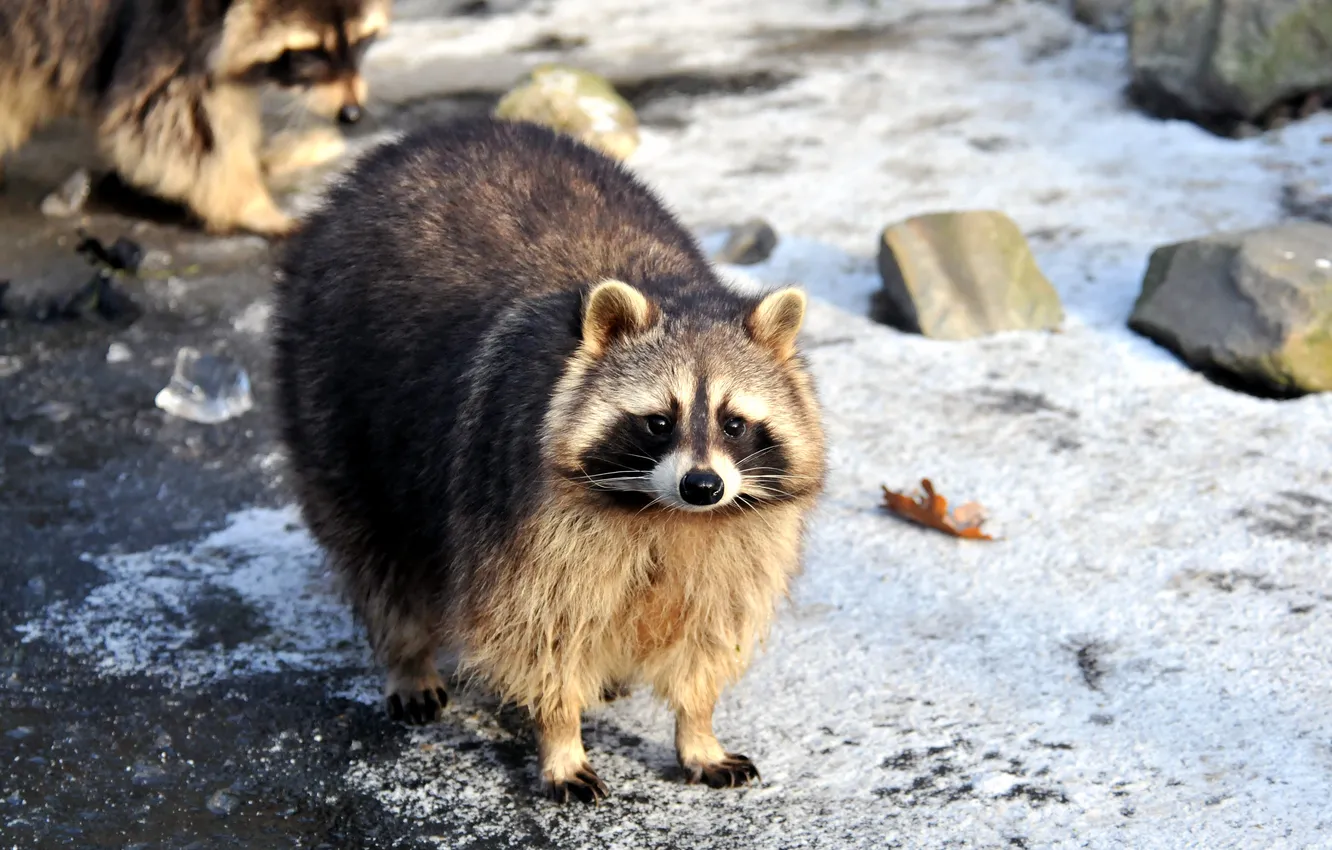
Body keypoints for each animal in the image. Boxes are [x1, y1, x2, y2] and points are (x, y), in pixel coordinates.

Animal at [0, 0, 390, 236]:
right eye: (311, 51)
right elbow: (169, 121)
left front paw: (262, 157)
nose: (351, 113)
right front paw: (250, 203)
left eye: (360, 40)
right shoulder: (164, 25)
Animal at [273, 117, 827, 803]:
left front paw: (698, 727)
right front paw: (561, 734)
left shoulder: (740, 536)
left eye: (734, 422)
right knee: (375, 549)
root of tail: (426, 137)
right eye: (659, 421)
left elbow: (711, 625)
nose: (703, 485)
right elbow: (538, 630)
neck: (661, 513)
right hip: (328, 392)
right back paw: (407, 659)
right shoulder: (515, 511)